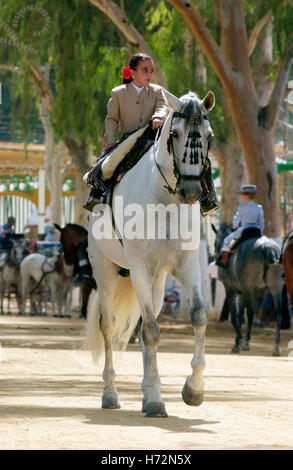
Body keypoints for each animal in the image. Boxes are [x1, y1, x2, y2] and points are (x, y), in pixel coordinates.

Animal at [85, 87, 213, 414]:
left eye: (209, 135)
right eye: (175, 133)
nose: (192, 192)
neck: (165, 202)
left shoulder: (187, 266)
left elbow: (198, 316)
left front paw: (193, 389)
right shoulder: (139, 270)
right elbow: (152, 331)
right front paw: (156, 400)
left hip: (157, 280)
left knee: (146, 323)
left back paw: (146, 390)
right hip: (106, 272)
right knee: (110, 327)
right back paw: (111, 394)